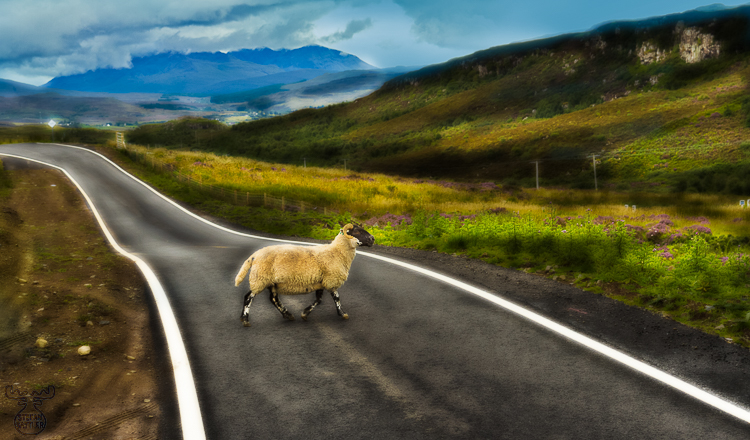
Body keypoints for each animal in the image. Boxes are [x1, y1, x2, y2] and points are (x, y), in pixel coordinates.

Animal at [234, 223, 375, 326]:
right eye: (357, 232)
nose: (373, 239)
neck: (337, 252)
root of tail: (254, 255)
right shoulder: (330, 280)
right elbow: (336, 298)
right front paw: (343, 314)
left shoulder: (321, 282)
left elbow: (319, 299)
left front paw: (305, 313)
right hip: (260, 279)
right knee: (248, 297)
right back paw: (245, 320)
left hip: (271, 282)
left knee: (273, 299)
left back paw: (288, 315)